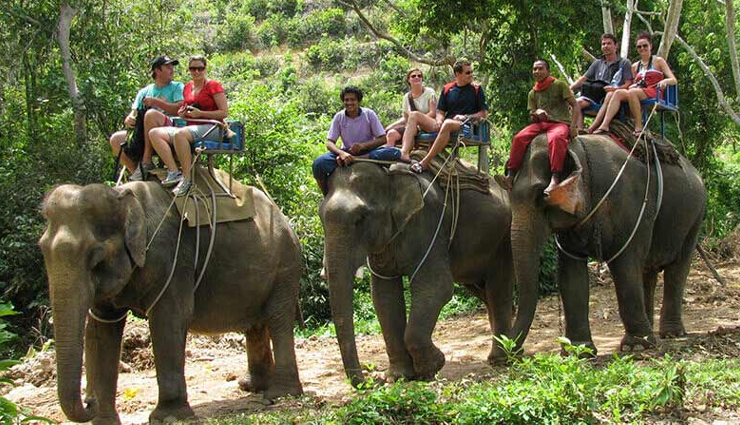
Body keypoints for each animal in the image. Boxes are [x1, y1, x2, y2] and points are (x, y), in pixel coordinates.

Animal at [38, 172, 303, 424]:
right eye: (42, 249)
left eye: (96, 259)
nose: (89, 400)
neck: (124, 198)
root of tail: (281, 215)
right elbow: (100, 330)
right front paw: (104, 421)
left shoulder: (172, 259)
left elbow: (170, 319)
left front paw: (169, 417)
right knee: (256, 325)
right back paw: (252, 387)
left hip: (285, 266)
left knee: (277, 319)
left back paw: (280, 394)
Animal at [319, 162, 513, 386]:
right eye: (321, 217)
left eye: (361, 218)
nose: (369, 380)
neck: (390, 176)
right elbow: (384, 297)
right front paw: (397, 376)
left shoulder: (429, 222)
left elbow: (437, 286)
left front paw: (431, 368)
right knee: (484, 292)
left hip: (501, 241)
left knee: (498, 290)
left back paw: (501, 359)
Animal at [506, 134, 705, 354]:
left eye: (541, 196)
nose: (512, 354)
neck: (580, 151)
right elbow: (571, 275)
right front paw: (579, 351)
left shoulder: (628, 206)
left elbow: (625, 267)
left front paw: (635, 347)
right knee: (647, 270)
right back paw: (651, 332)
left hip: (694, 218)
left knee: (677, 269)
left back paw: (670, 334)